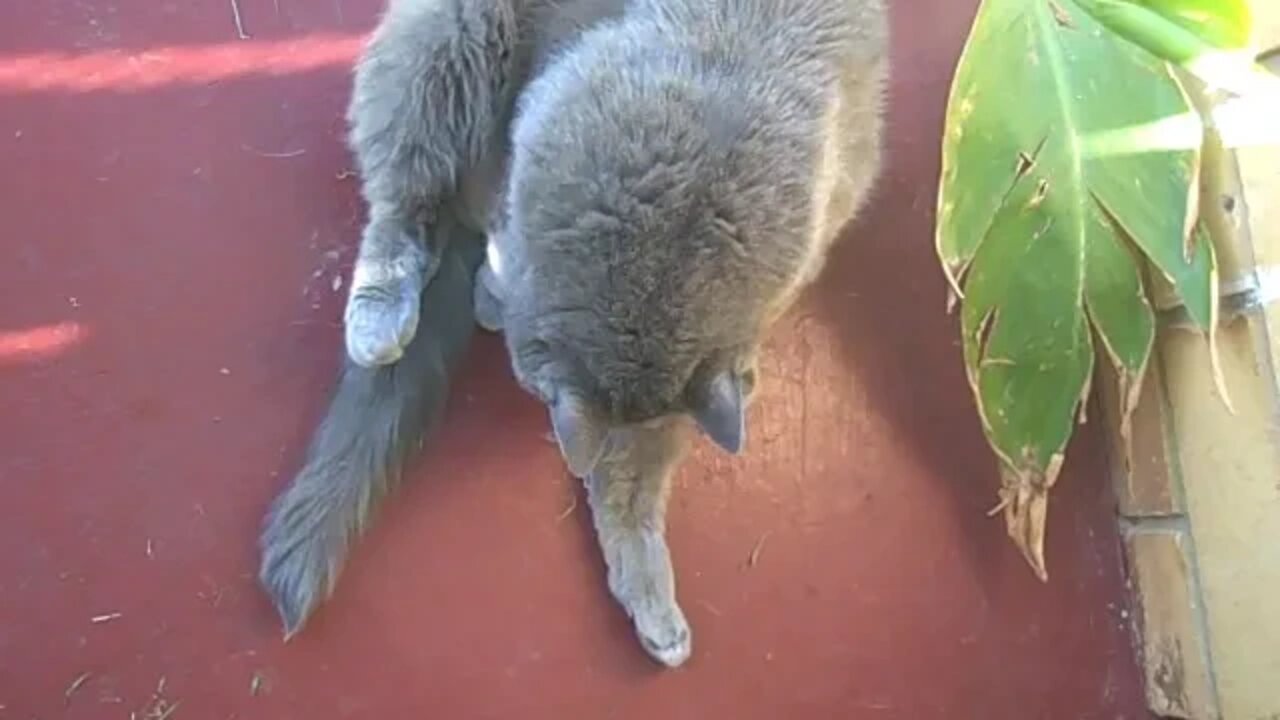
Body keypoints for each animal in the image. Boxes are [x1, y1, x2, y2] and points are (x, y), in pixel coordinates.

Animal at [254, 0, 885, 666]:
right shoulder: (543, 122)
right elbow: (508, 231)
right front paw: (494, 292)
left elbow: (630, 480)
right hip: (449, 43)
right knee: (405, 189)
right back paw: (383, 316)